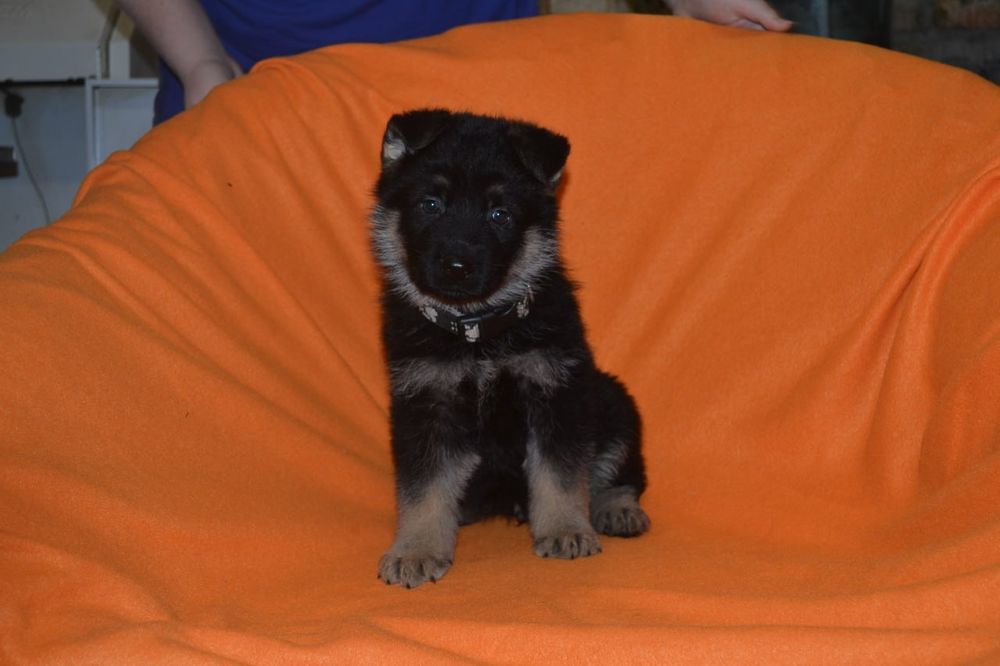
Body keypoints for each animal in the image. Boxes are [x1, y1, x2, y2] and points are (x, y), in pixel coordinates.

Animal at [370, 109, 649, 588]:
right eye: (431, 204)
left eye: (499, 214)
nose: (457, 267)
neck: (478, 331)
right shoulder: (426, 401)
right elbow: (424, 488)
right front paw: (416, 549)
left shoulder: (556, 390)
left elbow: (559, 473)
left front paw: (566, 529)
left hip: (613, 401)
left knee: (621, 471)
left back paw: (616, 508)